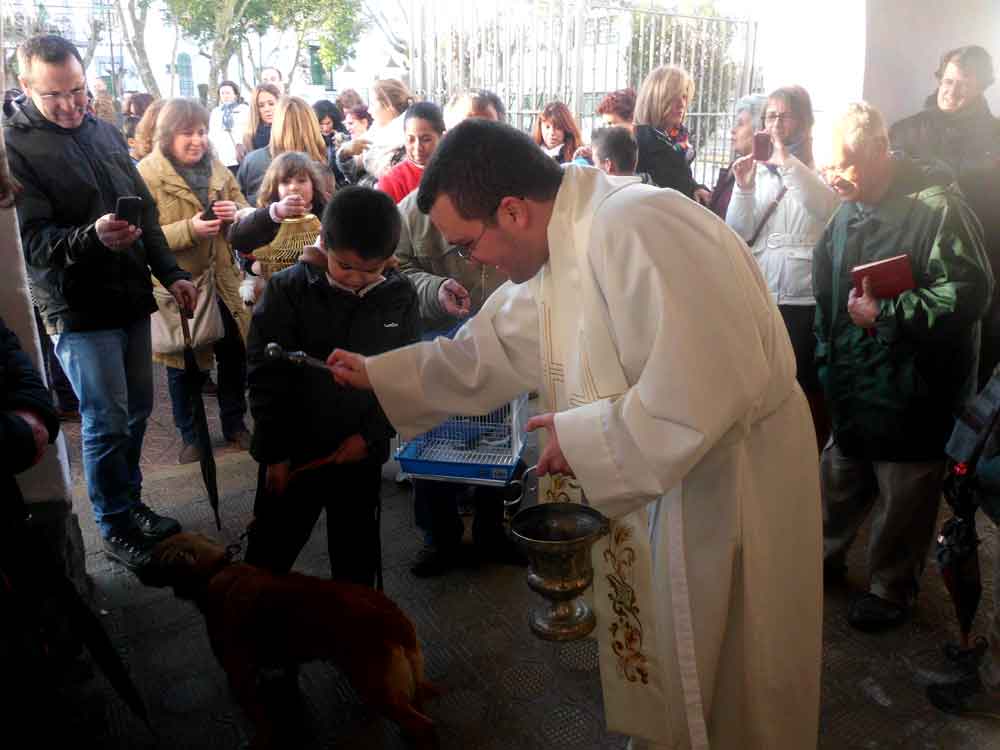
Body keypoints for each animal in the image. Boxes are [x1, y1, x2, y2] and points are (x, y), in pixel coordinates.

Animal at [146, 532, 436, 748]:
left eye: (154, 558)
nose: (138, 565)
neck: (215, 571)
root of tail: (393, 617)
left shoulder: (239, 676)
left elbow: (261, 719)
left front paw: (261, 739)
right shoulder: (283, 657)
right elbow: (287, 674)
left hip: (377, 687)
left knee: (424, 725)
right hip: (404, 681)